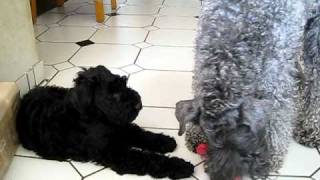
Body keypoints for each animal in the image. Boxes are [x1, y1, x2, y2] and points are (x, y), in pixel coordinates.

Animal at [16, 65, 192, 179]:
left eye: (124, 83)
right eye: (113, 94)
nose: (139, 104)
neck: (98, 117)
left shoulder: (121, 127)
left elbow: (141, 134)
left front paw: (164, 141)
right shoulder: (114, 152)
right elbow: (148, 158)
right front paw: (180, 166)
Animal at [175, 0, 320, 179]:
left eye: (242, 145)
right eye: (212, 143)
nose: (222, 174)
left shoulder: (274, 80)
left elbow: (277, 118)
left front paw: (272, 155)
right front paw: (195, 134)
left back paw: (310, 128)